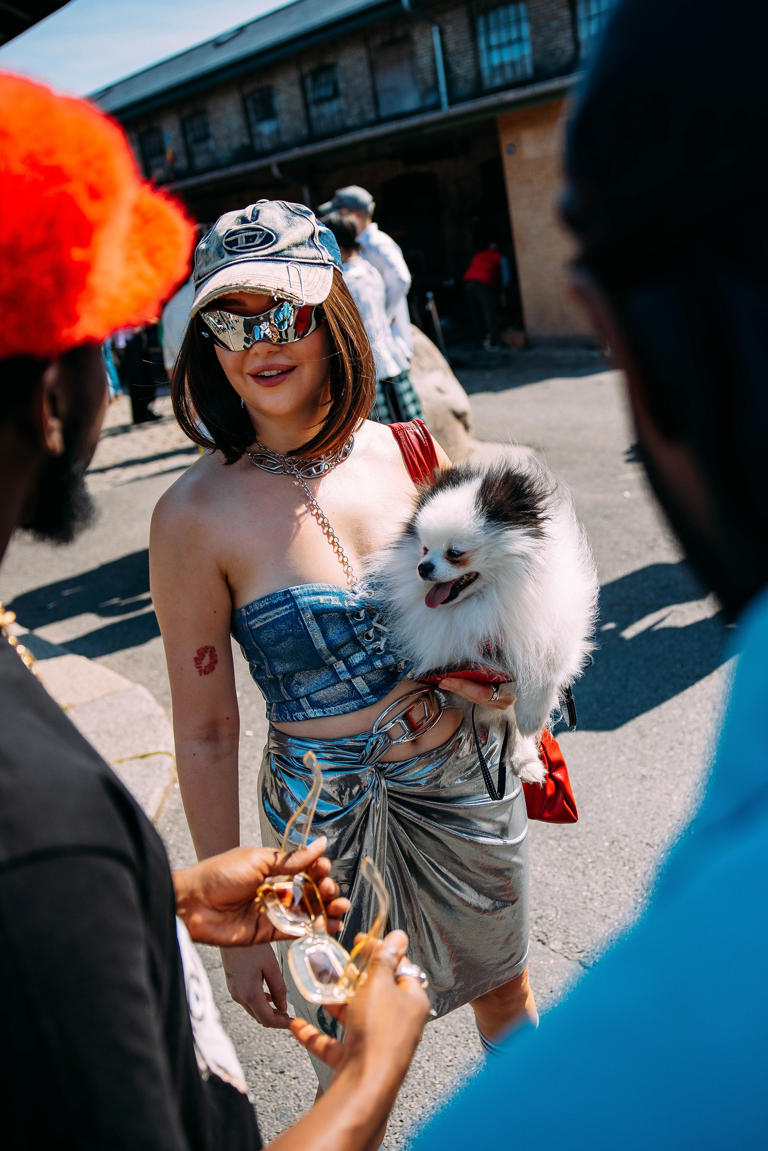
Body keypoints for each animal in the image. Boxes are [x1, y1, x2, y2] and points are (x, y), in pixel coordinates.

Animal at [373, 451, 598, 782]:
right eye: (424, 549)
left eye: (454, 553)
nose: (423, 567)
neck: (488, 597)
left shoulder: (552, 629)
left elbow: (543, 673)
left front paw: (532, 718)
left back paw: (526, 760)